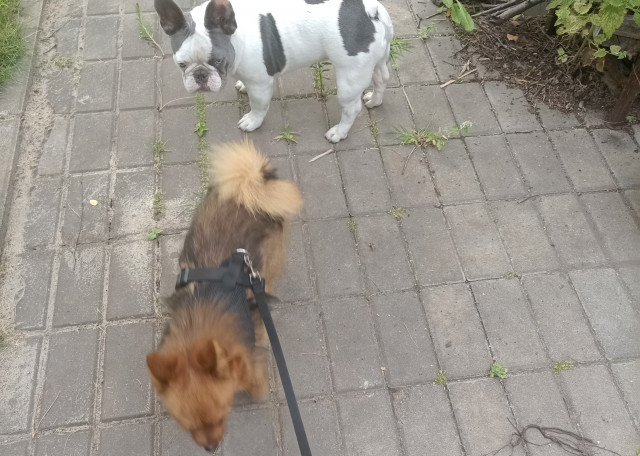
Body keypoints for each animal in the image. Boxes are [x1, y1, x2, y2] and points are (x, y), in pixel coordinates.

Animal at [146, 141, 302, 453]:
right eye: (187, 426)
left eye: (222, 414)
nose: (211, 448)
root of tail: (249, 186)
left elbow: (253, 381)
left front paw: (255, 388)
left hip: (270, 261)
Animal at [154, 0, 394, 143]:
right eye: (181, 64)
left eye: (217, 60)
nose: (200, 75)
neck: (236, 36)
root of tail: (371, 11)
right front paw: (241, 85)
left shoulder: (260, 85)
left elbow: (258, 106)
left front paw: (252, 121)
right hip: (377, 59)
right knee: (381, 78)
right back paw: (374, 100)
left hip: (350, 77)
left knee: (351, 108)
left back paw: (339, 132)